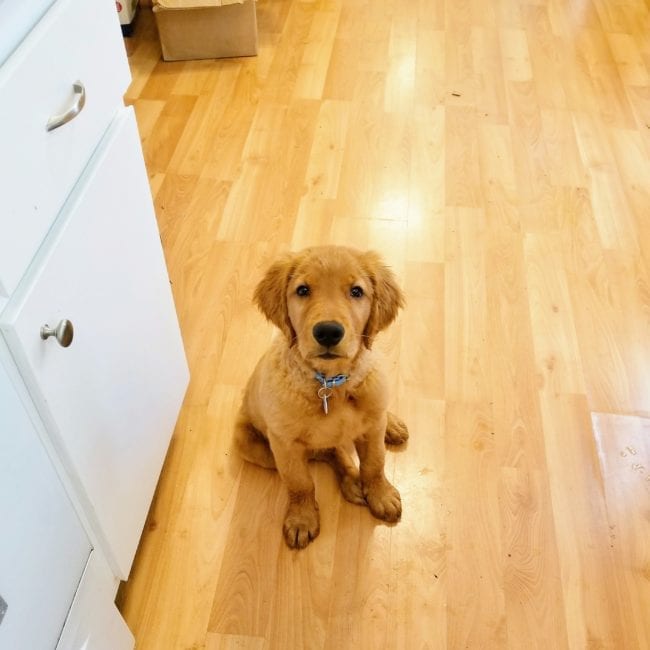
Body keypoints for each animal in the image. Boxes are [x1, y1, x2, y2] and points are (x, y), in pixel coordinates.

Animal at [233, 243, 404, 548]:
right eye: (302, 290)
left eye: (356, 291)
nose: (328, 332)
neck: (330, 384)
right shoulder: (285, 444)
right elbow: (300, 483)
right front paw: (302, 519)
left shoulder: (372, 430)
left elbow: (375, 463)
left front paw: (381, 495)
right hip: (250, 444)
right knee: (328, 452)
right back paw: (351, 481)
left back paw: (391, 426)